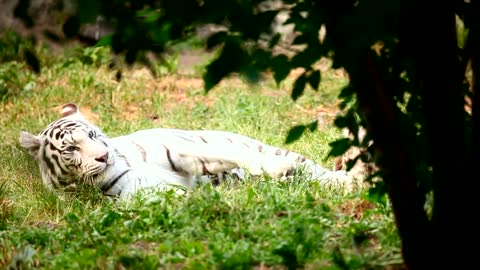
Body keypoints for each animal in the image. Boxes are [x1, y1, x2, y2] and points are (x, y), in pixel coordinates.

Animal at [18, 102, 350, 199]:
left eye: (91, 134)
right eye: (72, 149)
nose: (103, 156)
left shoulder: (181, 152)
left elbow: (227, 155)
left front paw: (272, 167)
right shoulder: (146, 194)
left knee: (311, 168)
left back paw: (345, 180)